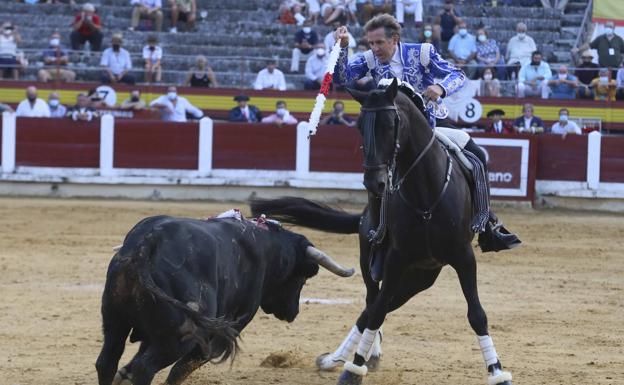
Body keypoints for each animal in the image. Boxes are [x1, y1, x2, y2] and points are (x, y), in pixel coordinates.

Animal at [95, 214, 354, 382]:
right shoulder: (224, 331)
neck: (267, 248)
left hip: (115, 321)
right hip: (183, 334)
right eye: (301, 279)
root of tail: (147, 243)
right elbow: (182, 369)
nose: (293, 312)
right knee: (144, 367)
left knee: (107, 361)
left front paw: (124, 375)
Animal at [251, 79, 516, 384]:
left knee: (379, 305)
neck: (426, 195)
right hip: (374, 263)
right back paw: (341, 358)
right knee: (373, 303)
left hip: (422, 275)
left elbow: (477, 314)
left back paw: (346, 357)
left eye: (391, 124)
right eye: (359, 126)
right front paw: (353, 368)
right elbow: (376, 312)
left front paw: (497, 371)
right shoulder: (396, 258)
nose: (374, 182)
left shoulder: (463, 257)